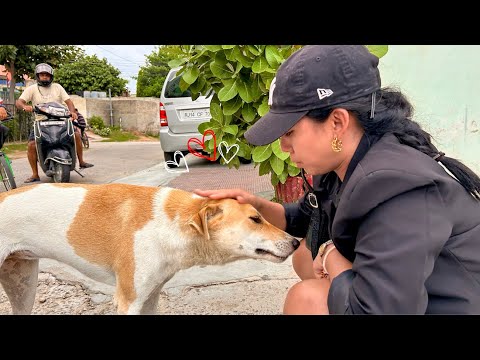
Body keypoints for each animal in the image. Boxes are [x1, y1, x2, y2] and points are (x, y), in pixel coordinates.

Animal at [0, 184, 298, 314]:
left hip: (24, 288)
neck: (172, 221)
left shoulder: (151, 297)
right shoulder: (129, 301)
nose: (296, 242)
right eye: (255, 219)